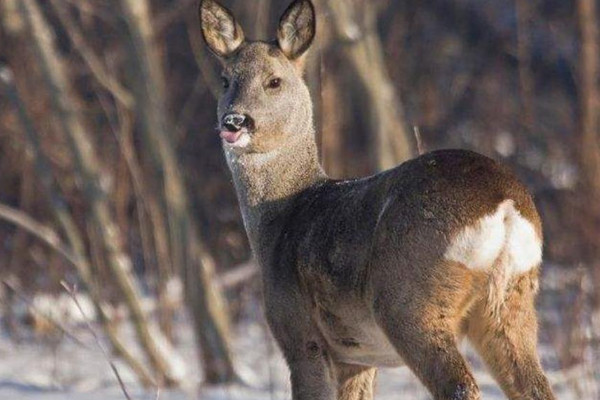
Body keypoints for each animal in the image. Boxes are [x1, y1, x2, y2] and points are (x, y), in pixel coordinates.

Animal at [199, 1, 556, 398]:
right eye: (225, 80)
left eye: (274, 81)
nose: (235, 121)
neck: (282, 217)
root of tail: (504, 205)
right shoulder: (357, 356)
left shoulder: (300, 333)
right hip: (512, 300)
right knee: (535, 385)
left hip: (409, 300)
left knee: (459, 384)